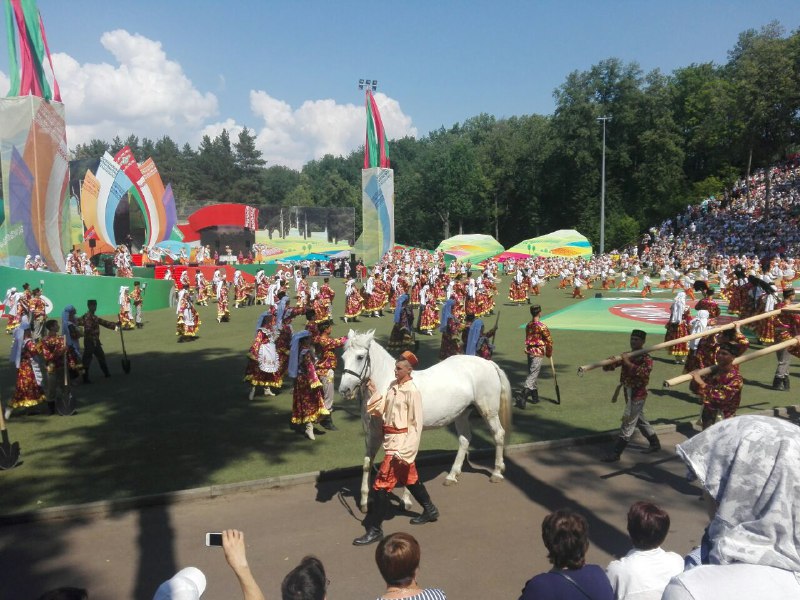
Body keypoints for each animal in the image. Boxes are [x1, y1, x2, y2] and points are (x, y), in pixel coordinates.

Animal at [338, 330, 512, 512]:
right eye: (343, 357)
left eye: (360, 357)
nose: (344, 390)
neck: (390, 387)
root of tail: (489, 363)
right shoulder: (373, 434)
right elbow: (367, 463)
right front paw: (365, 501)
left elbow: (404, 462)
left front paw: (406, 500)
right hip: (462, 414)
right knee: (465, 439)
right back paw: (452, 475)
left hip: (488, 411)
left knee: (498, 434)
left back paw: (496, 473)